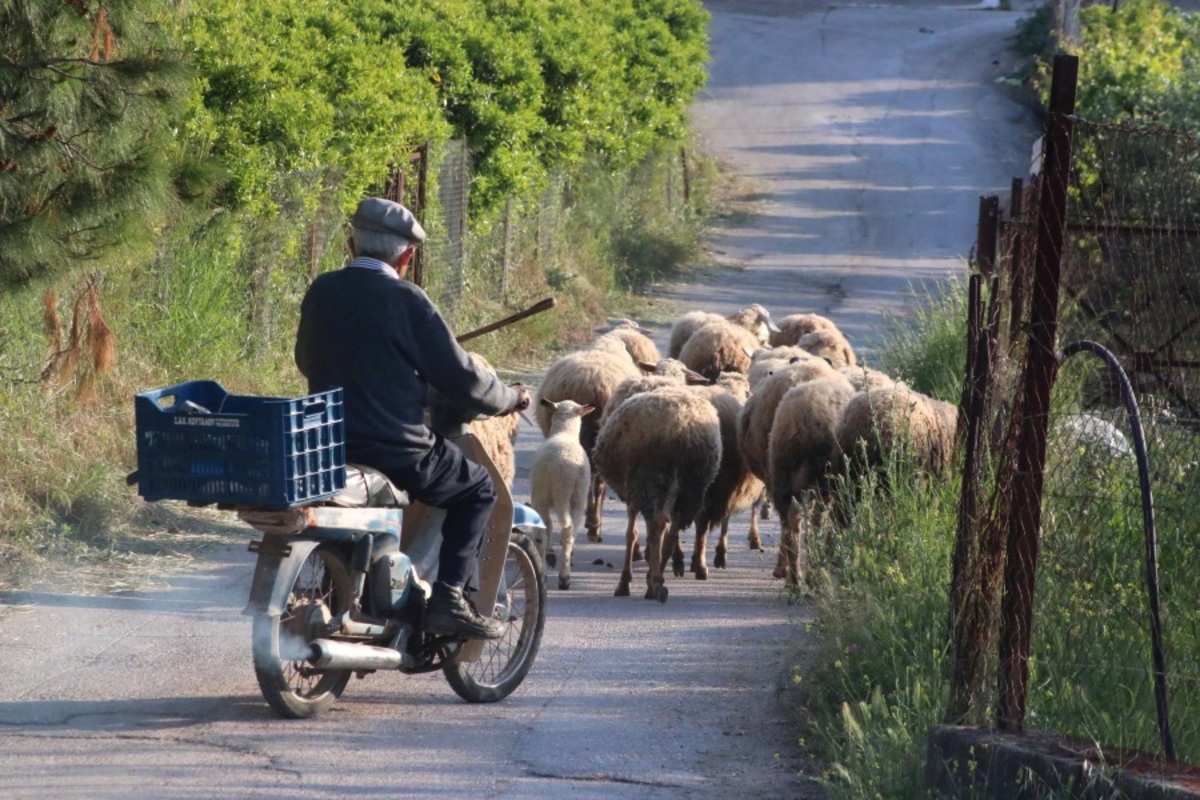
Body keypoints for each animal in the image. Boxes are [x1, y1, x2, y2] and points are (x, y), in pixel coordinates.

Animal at [530, 398, 595, 592]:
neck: (564, 431)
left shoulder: (540, 499)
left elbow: (546, 529)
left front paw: (549, 555)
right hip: (578, 497)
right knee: (569, 532)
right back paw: (565, 574)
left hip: (552, 495)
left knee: (553, 529)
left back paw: (556, 574)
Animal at [592, 388, 720, 599]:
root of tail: (681, 429)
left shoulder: (633, 492)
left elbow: (631, 534)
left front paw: (625, 582)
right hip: (689, 486)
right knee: (669, 529)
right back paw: (656, 580)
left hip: (648, 479)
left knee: (658, 524)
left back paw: (654, 583)